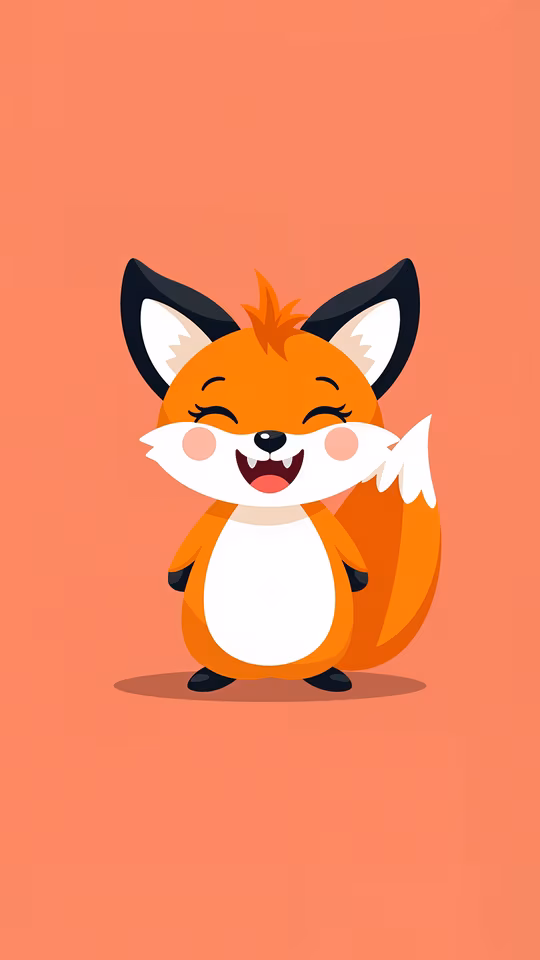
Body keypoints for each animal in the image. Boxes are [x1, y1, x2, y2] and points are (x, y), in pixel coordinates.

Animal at [121, 257, 441, 692]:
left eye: (325, 415)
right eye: (215, 415)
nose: (269, 437)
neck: (269, 513)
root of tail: (269, 674)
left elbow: (356, 571)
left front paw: (358, 578)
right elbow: (179, 568)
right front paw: (176, 579)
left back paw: (330, 677)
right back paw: (209, 677)